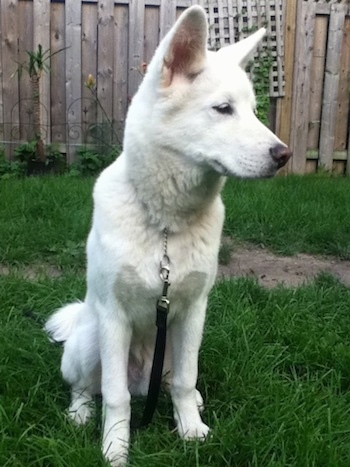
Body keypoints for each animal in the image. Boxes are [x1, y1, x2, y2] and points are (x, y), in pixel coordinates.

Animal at [45, 5, 292, 466]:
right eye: (223, 109)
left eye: (253, 110)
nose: (284, 155)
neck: (164, 225)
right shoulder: (113, 318)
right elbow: (116, 398)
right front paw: (115, 448)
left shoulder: (193, 313)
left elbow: (184, 381)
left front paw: (190, 431)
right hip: (91, 337)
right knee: (88, 387)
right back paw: (80, 414)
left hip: (173, 348)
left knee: (175, 380)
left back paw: (190, 404)